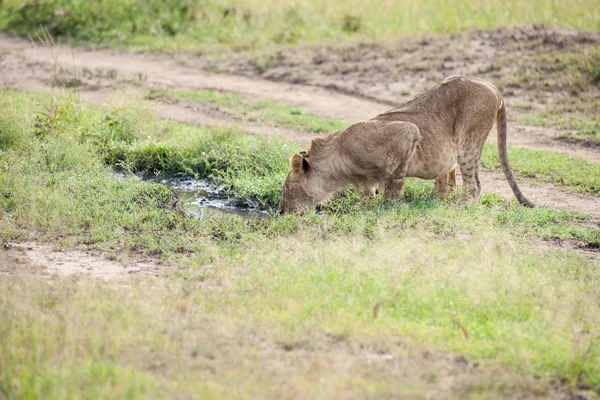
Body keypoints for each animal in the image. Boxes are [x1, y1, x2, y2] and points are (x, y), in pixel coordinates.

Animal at [278, 77, 532, 217]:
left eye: (287, 189)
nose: (280, 211)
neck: (340, 162)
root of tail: (493, 87)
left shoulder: (408, 133)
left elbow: (394, 182)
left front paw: (387, 206)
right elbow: (369, 191)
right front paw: (364, 203)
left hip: (469, 141)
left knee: (474, 185)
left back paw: (458, 207)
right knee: (449, 182)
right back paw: (437, 198)